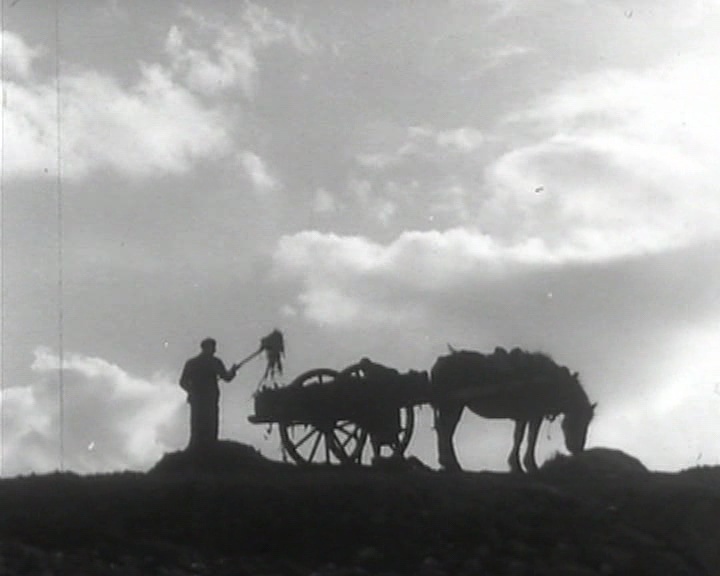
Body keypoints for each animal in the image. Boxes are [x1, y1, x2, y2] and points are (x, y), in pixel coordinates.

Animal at [430, 346, 592, 472]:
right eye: (580, 420)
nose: (577, 449)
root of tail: (439, 363)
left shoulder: (527, 416)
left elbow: (523, 437)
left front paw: (520, 464)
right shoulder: (532, 415)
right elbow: (527, 438)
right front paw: (525, 465)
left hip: (452, 407)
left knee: (444, 431)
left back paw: (448, 463)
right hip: (452, 406)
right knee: (445, 432)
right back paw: (452, 464)